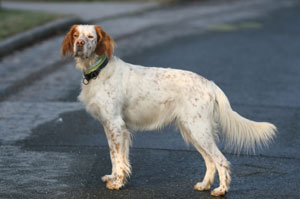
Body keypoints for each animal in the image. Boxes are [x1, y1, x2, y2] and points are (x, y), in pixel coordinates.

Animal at [61, 24, 276, 196]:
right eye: (76, 35)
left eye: (91, 37)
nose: (79, 43)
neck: (99, 70)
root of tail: (210, 84)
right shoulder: (110, 126)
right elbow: (115, 156)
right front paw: (113, 177)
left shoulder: (115, 124)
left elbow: (118, 158)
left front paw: (118, 183)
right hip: (192, 131)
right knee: (210, 161)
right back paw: (204, 185)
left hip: (198, 130)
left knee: (220, 160)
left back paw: (221, 190)